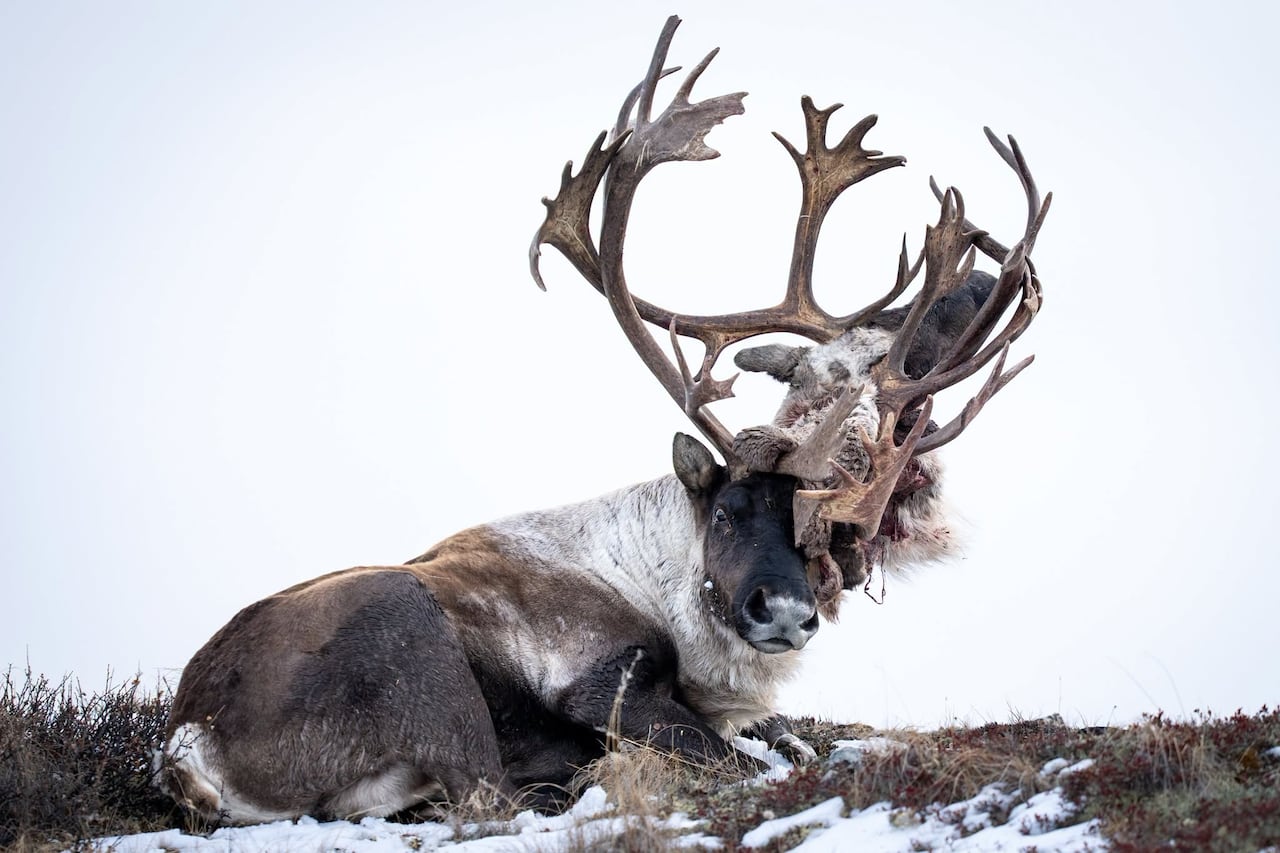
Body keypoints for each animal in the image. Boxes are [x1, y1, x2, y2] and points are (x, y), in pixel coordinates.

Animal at [156, 16, 1048, 825]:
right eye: (728, 511)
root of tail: (190, 743)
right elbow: (736, 758)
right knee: (490, 793)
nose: (786, 612)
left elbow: (784, 741)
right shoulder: (604, 683)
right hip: (421, 652)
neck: (664, 580)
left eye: (823, 533)